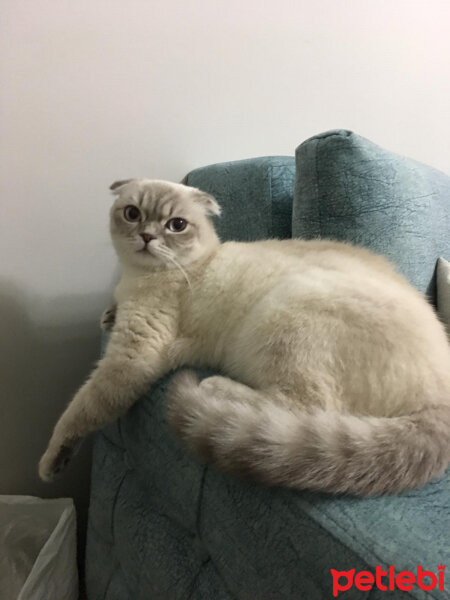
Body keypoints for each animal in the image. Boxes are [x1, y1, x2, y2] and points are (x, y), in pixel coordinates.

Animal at [38, 179, 450, 496]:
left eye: (176, 224)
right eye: (132, 213)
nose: (146, 236)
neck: (137, 278)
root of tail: (442, 397)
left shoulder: (133, 355)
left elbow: (81, 409)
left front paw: (51, 461)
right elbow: (110, 316)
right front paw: (107, 315)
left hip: (287, 314)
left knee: (304, 405)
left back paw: (216, 387)